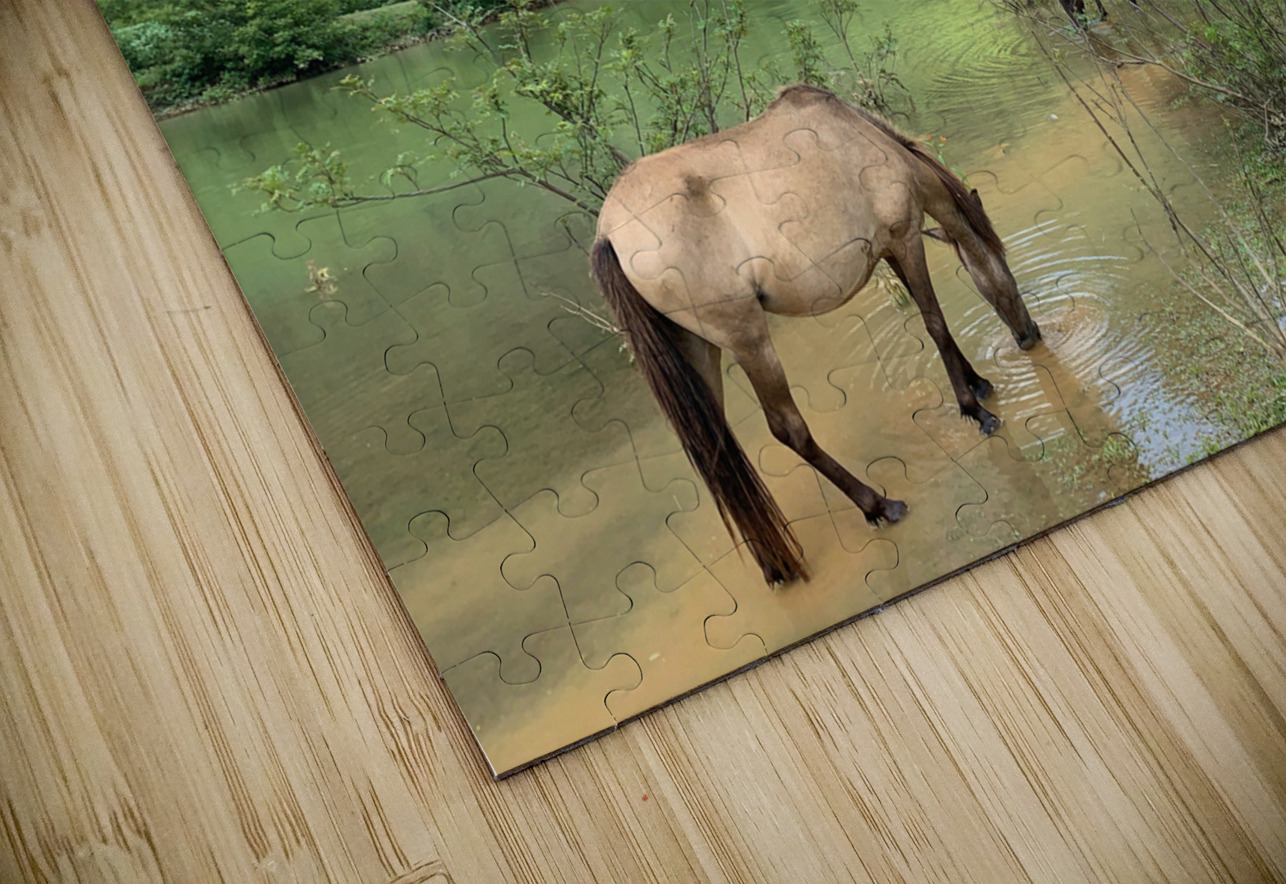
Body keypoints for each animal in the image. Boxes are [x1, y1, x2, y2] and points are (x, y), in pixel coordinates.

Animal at [591, 84, 1041, 586]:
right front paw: (975, 410)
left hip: (699, 351)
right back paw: (878, 504)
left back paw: (776, 564)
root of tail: (609, 233)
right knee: (788, 429)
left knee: (717, 455)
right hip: (749, 341)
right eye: (1004, 264)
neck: (865, 138)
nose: (1031, 334)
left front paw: (979, 383)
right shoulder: (904, 238)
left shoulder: (891, 250)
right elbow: (935, 325)